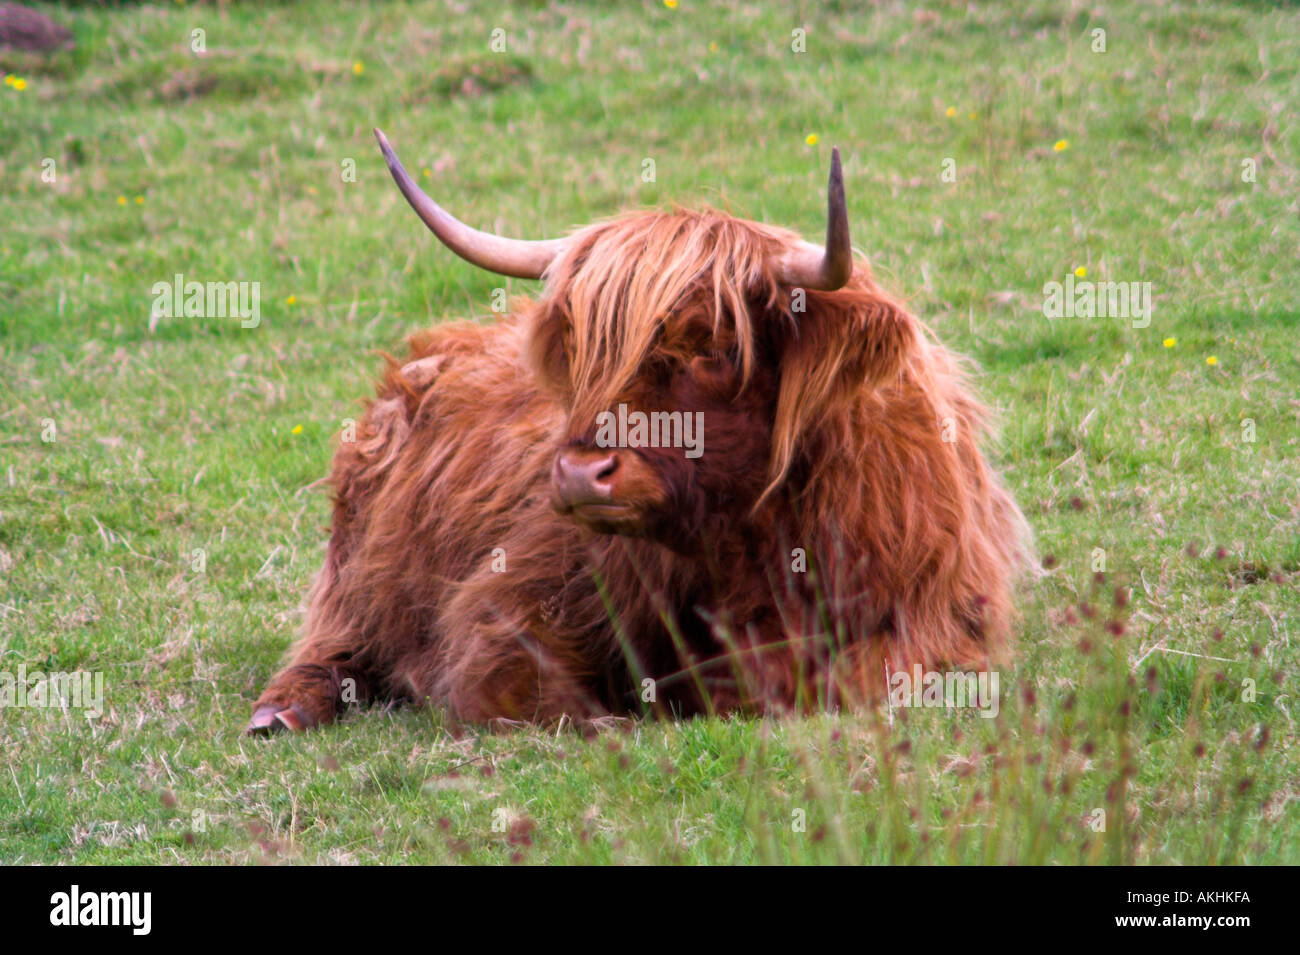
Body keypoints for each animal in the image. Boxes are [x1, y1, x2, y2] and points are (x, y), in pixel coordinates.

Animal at [245, 130, 1032, 734]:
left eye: (715, 346)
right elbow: (519, 687)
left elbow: (839, 680)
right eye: (585, 352)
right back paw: (281, 710)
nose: (578, 474)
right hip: (357, 565)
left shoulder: (938, 619)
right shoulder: (511, 598)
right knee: (334, 638)